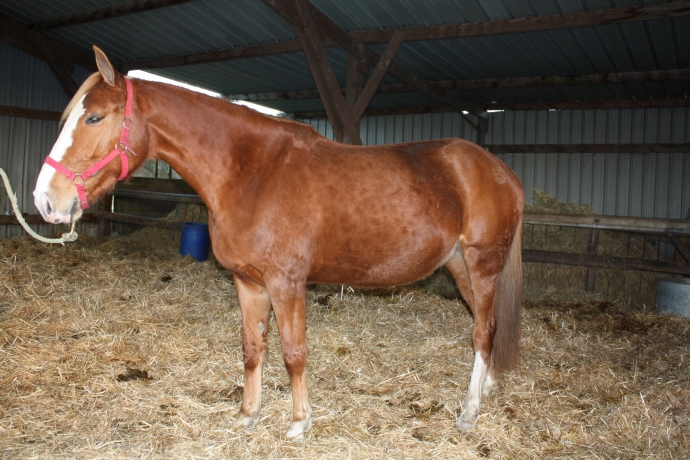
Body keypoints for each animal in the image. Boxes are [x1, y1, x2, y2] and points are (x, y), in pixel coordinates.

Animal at [32, 46, 520, 438]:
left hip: (482, 264)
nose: (44, 200)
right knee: (487, 328)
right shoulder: (248, 282)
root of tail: (498, 170)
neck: (251, 173)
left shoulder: (286, 284)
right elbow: (253, 350)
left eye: (94, 117)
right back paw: (487, 390)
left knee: (482, 331)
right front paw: (248, 414)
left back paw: (469, 411)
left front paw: (300, 422)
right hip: (458, 266)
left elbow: (293, 353)